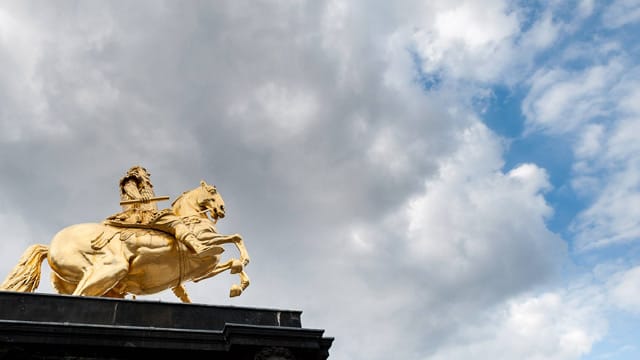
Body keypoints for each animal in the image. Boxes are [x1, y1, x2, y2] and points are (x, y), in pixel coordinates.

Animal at [0, 181, 250, 302]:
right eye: (213, 191)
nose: (222, 209)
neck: (190, 217)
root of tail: (51, 246)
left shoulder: (200, 273)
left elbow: (231, 263)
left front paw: (237, 285)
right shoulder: (205, 242)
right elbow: (236, 237)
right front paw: (243, 264)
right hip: (108, 270)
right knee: (81, 295)